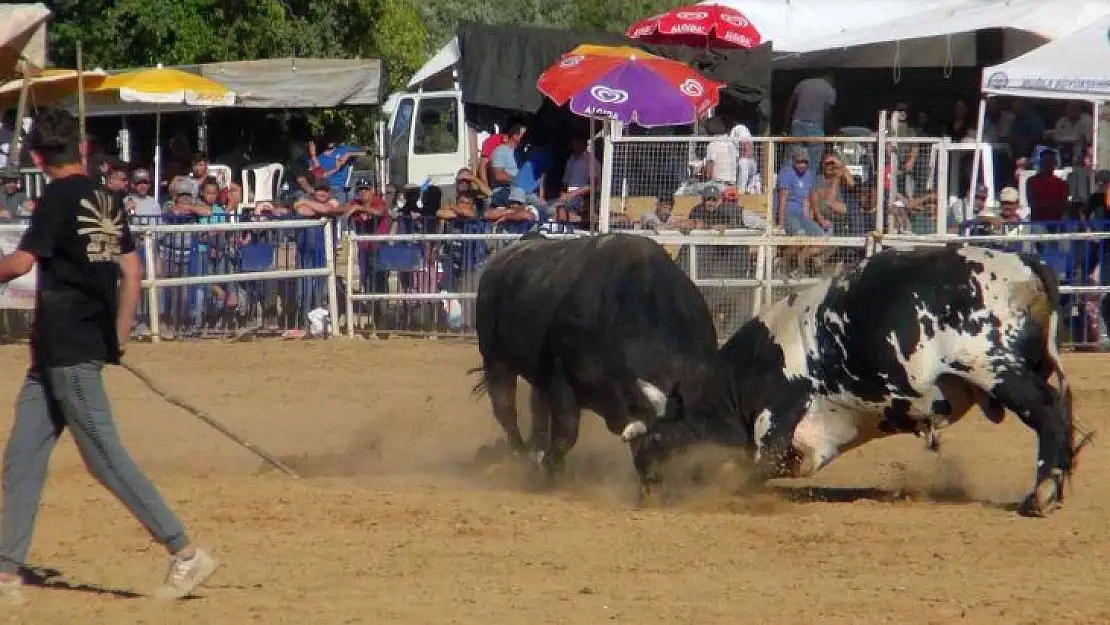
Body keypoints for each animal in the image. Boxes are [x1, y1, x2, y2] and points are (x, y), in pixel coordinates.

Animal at [470, 232, 719, 477]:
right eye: (656, 444)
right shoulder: (563, 377)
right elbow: (566, 433)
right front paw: (550, 468)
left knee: (537, 408)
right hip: (496, 362)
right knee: (505, 408)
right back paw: (519, 454)